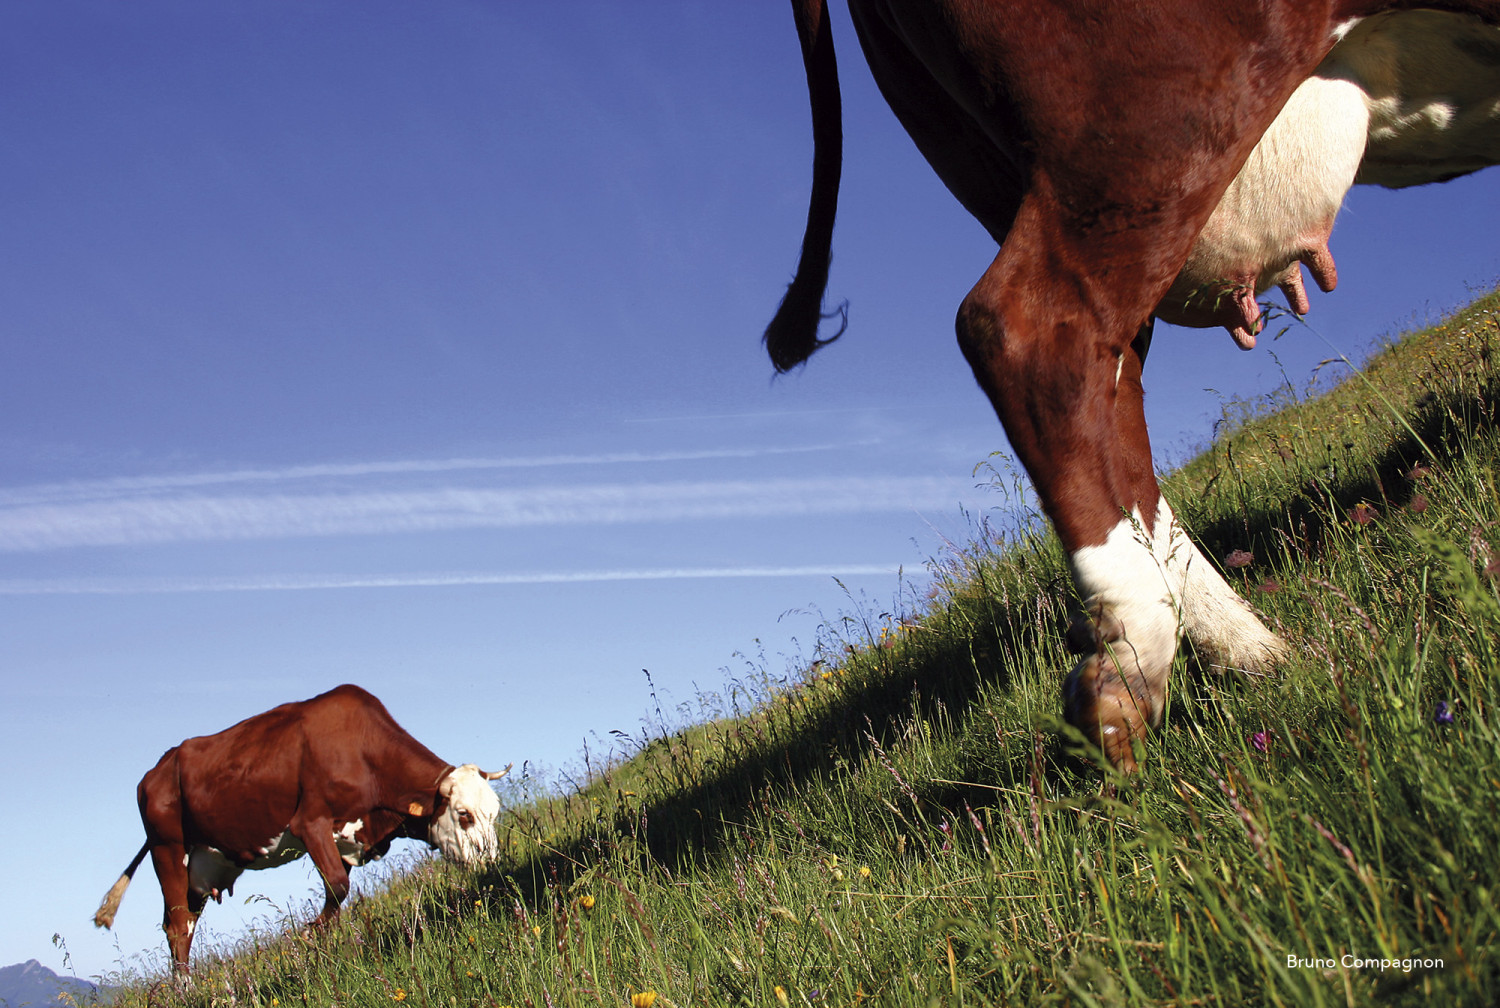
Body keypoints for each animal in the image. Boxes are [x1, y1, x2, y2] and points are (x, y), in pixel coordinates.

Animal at [93, 684, 510, 972]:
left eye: (494, 813)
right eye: (464, 814)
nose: (492, 863)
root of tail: (157, 770)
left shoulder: (346, 842)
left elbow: (335, 898)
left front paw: (322, 950)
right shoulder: (311, 822)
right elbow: (337, 889)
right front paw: (307, 935)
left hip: (199, 866)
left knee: (183, 924)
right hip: (166, 849)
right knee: (178, 927)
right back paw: (185, 990)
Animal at [767, 1, 1500, 771]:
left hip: (1011, 172)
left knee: (1113, 401)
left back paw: (1249, 648)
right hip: (1152, 131)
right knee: (1025, 329)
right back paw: (1134, 654)